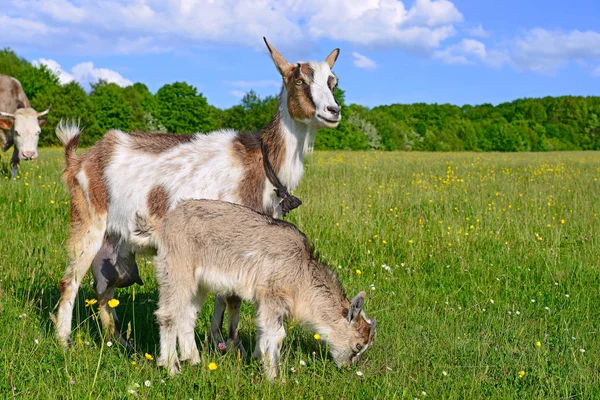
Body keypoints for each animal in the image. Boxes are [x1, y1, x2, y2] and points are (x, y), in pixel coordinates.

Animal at [52, 37, 342, 350]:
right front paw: (235, 347)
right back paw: (64, 341)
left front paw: (218, 342)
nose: (333, 111)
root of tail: (80, 160)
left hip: (114, 243)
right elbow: (233, 297)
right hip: (88, 220)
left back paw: (118, 340)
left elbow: (223, 294)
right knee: (70, 281)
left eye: (333, 82)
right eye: (299, 80)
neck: (261, 162)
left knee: (104, 288)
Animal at [132, 200, 378, 382]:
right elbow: (277, 334)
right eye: (358, 345)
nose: (347, 367)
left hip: (197, 283)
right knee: (168, 315)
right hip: (176, 270)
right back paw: (172, 367)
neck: (302, 271)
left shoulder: (264, 300)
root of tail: (161, 227)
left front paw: (258, 356)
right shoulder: (273, 295)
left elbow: (262, 328)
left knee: (187, 316)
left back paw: (193, 359)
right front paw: (274, 376)